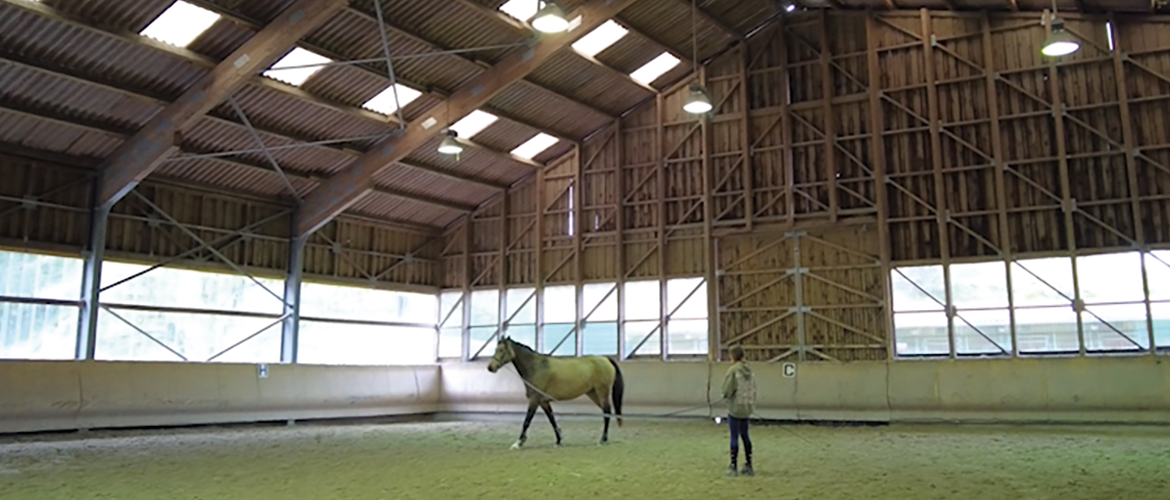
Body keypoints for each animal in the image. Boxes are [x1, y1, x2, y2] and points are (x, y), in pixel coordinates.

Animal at [486, 337, 622, 449]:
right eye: (496, 349)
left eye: (501, 350)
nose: (490, 367)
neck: (536, 367)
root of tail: (605, 359)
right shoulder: (543, 402)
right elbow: (552, 419)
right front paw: (558, 440)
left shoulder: (534, 400)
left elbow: (527, 421)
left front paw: (518, 443)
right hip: (593, 394)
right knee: (606, 412)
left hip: (602, 392)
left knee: (607, 412)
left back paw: (603, 440)